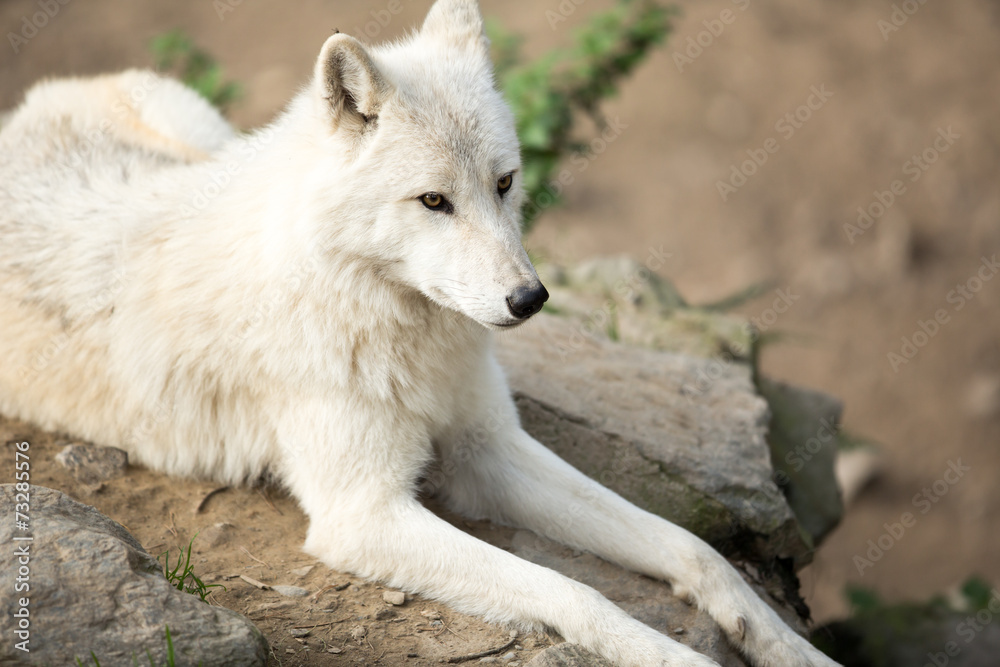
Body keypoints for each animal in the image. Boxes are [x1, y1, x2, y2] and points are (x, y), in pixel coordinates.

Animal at [0, 2, 844, 664]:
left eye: (504, 183)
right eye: (433, 200)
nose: (530, 298)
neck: (398, 334)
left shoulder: (488, 450)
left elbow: (691, 547)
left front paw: (788, 646)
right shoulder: (362, 514)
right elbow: (572, 590)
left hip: (204, 132)